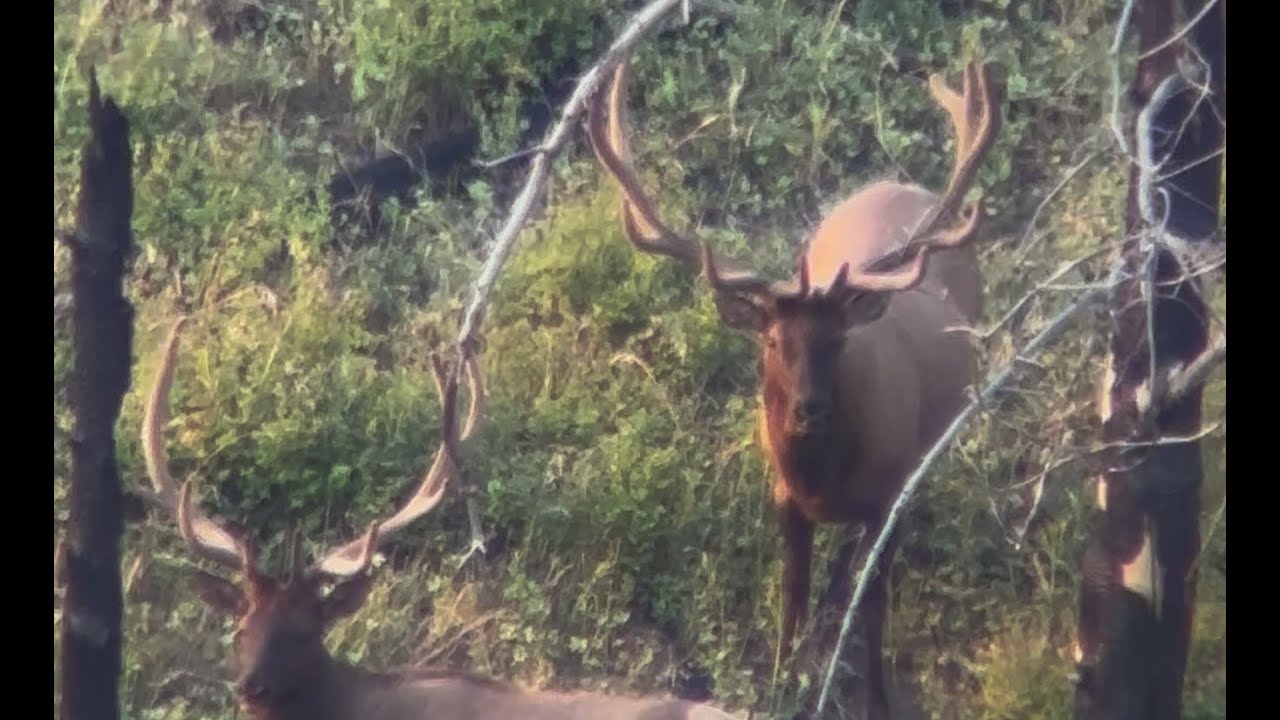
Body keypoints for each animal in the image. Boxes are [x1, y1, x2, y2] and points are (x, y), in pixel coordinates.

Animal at [584, 48, 1000, 719]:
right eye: (773, 341)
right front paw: (784, 682)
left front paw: (874, 697)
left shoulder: (886, 497)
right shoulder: (785, 499)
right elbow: (791, 602)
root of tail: (904, 184)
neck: (823, 477)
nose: (810, 411)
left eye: (837, 340)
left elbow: (873, 612)